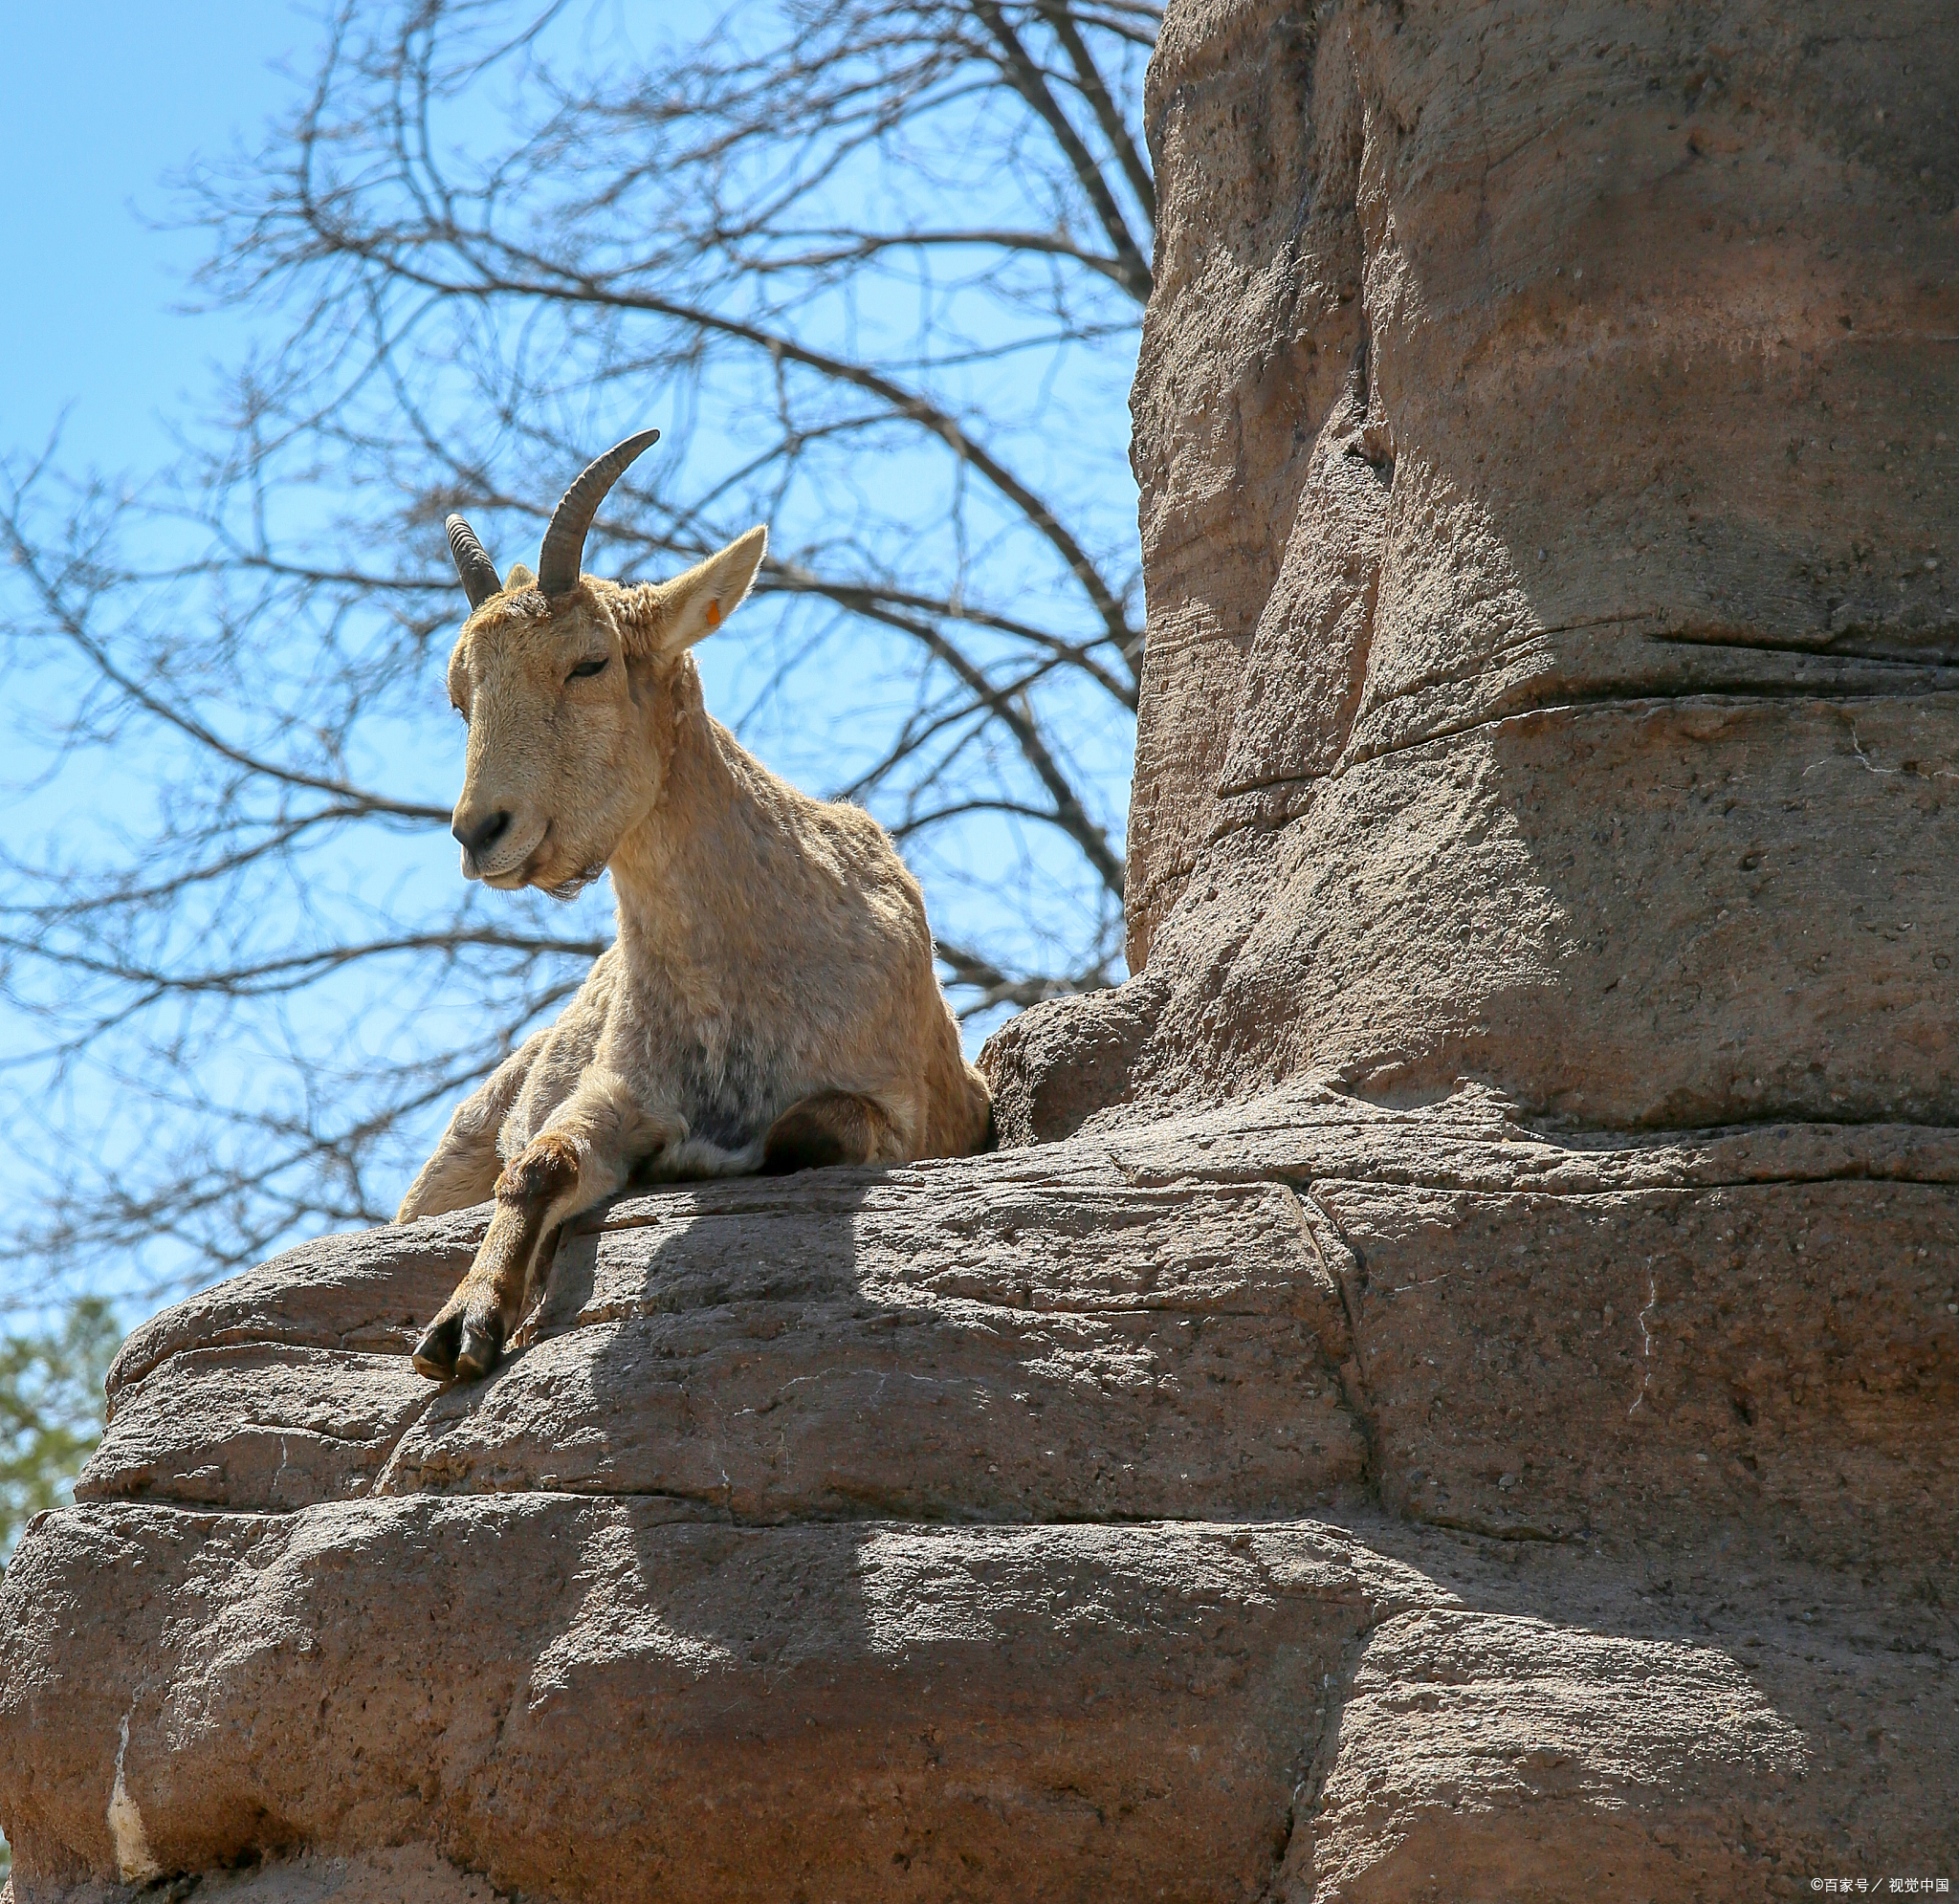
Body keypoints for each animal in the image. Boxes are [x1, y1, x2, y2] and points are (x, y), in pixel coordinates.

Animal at [399, 430, 995, 1387]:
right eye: (461, 695)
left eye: (591, 660)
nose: (481, 831)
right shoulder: (613, 1088)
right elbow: (537, 1163)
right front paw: (461, 1323)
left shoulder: (913, 1111)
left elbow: (810, 1128)